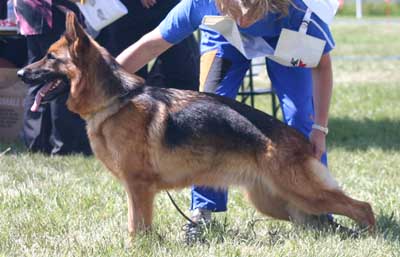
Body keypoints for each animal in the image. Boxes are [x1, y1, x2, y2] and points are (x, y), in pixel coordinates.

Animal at [18, 12, 376, 236]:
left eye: (50, 57)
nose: (21, 73)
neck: (115, 101)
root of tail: (300, 139)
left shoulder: (138, 187)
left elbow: (137, 227)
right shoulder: (138, 189)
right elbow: (139, 225)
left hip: (301, 192)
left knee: (362, 207)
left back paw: (368, 233)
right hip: (274, 201)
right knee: (318, 219)